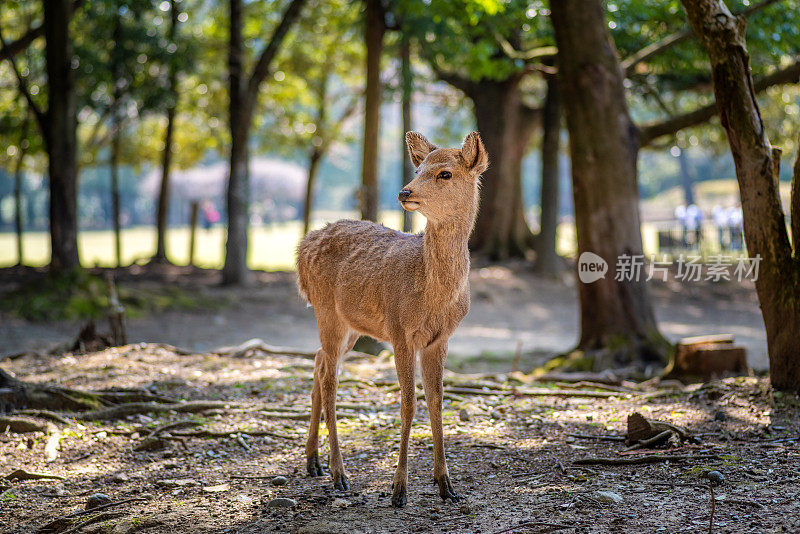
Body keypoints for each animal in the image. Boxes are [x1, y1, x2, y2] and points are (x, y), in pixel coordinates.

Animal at [296, 132, 488, 508]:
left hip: (352, 326)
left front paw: (446, 485)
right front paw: (399, 489)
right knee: (330, 379)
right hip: (326, 310)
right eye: (417, 168)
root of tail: (300, 250)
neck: (432, 293)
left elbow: (437, 402)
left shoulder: (440, 338)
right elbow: (408, 404)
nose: (404, 192)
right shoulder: (400, 329)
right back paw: (339, 474)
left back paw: (313, 462)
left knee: (319, 361)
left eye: (445, 173)